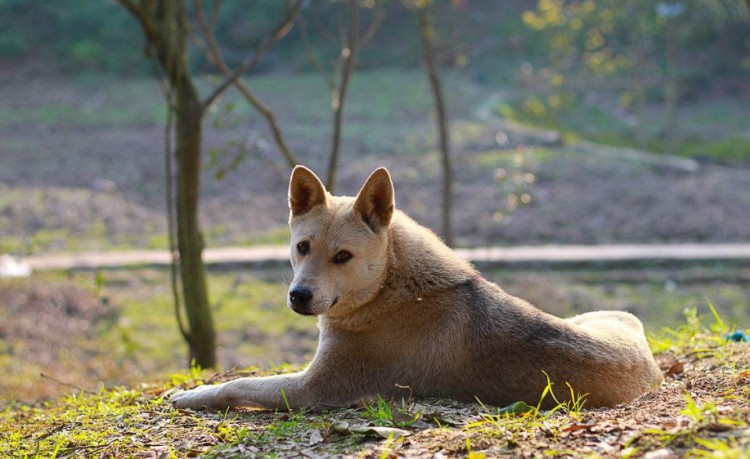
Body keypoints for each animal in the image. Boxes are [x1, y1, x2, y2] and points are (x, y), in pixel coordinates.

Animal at [170, 167, 664, 412]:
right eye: (302, 247)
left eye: (343, 257)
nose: (299, 296)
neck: (389, 289)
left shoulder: (313, 389)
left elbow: (237, 384)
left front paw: (189, 396)